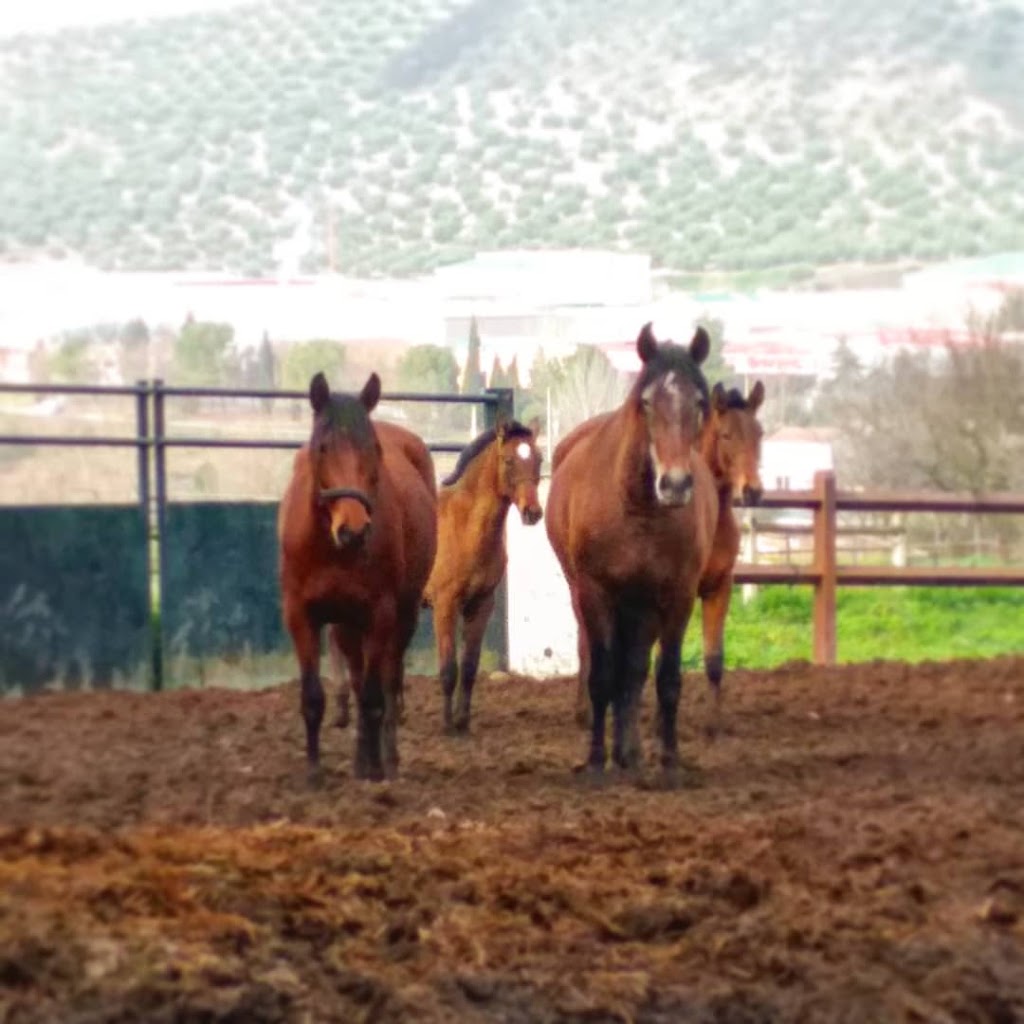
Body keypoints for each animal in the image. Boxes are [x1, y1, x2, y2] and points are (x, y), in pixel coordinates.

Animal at [278, 371, 437, 783]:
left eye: (374, 449)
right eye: (322, 448)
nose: (354, 529)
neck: (331, 548)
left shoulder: (381, 615)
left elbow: (374, 695)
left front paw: (376, 767)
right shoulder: (301, 615)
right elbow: (313, 697)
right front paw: (314, 771)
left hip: (401, 616)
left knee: (388, 680)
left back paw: (384, 758)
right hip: (346, 625)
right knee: (356, 672)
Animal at [423, 415, 544, 733]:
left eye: (538, 458)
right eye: (509, 460)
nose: (533, 512)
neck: (465, 526)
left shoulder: (481, 604)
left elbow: (469, 666)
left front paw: (463, 722)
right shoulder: (445, 605)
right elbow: (448, 668)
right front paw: (447, 725)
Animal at [545, 322, 717, 776]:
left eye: (699, 402)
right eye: (647, 402)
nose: (675, 484)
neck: (638, 510)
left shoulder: (677, 595)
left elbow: (665, 677)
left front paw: (668, 760)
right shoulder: (595, 592)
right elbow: (602, 675)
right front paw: (595, 761)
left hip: (643, 606)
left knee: (635, 670)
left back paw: (631, 753)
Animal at [558, 379, 766, 734]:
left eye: (759, 433)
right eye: (726, 435)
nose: (752, 490)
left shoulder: (719, 587)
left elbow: (714, 659)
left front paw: (714, 724)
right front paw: (657, 722)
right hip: (579, 587)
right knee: (587, 644)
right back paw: (585, 713)